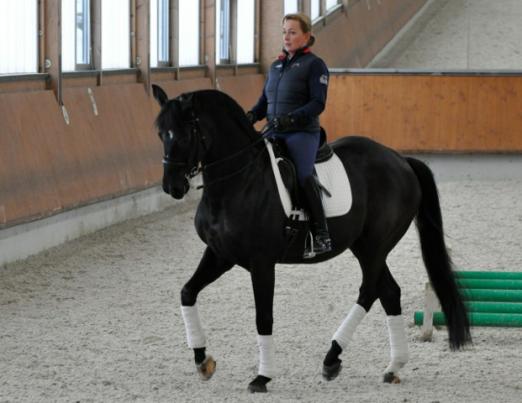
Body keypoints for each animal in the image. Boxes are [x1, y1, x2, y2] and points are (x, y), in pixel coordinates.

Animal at [151, 86, 472, 394]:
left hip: (374, 246)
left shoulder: (262, 263)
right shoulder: (220, 255)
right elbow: (187, 292)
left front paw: (262, 377)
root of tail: (401, 160)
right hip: (365, 247)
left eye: (184, 133)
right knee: (389, 293)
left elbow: (263, 317)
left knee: (368, 292)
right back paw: (393, 367)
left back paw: (332, 358)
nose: (172, 187)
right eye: (160, 134)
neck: (240, 182)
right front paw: (202, 360)